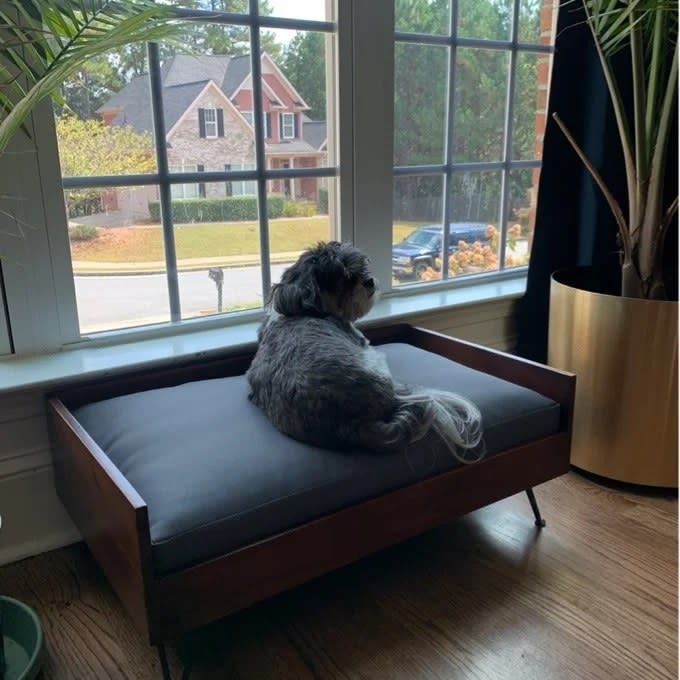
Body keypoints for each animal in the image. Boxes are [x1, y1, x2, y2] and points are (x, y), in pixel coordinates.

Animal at [247, 240, 486, 462]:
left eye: (360, 267)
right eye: (345, 278)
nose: (368, 280)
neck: (304, 309)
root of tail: (351, 426)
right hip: (376, 364)